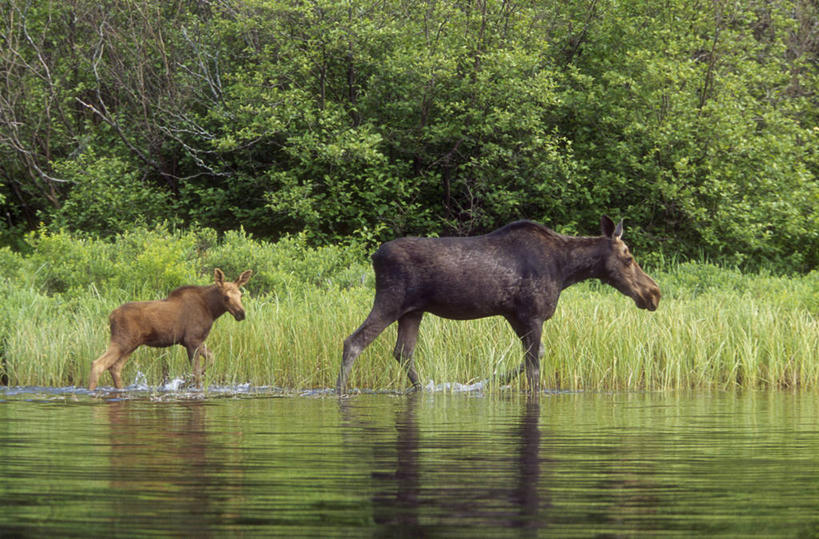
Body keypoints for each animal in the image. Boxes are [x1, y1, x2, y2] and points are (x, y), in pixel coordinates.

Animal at [87, 270, 251, 392]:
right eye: (226, 297)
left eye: (241, 295)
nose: (241, 313)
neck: (211, 310)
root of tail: (111, 316)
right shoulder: (192, 340)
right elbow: (197, 372)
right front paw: (185, 383)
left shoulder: (196, 341)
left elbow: (211, 359)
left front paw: (184, 382)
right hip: (122, 341)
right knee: (98, 364)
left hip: (131, 345)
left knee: (115, 367)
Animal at [336, 216, 664, 396]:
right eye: (628, 258)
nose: (654, 293)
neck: (566, 271)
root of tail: (374, 256)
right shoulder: (533, 315)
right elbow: (534, 369)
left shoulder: (515, 316)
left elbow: (535, 356)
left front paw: (486, 383)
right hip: (390, 300)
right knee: (354, 341)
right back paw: (339, 391)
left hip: (413, 311)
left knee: (403, 352)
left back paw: (424, 389)